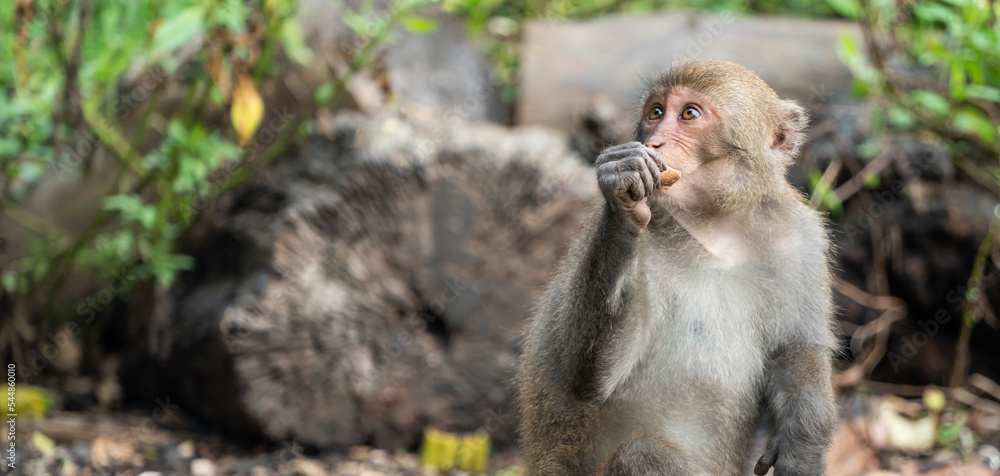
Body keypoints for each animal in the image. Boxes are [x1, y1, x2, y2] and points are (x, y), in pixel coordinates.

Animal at [516, 60, 836, 476]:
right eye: (655, 112)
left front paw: (803, 442)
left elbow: (797, 348)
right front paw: (621, 199)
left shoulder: (799, 239)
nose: (654, 144)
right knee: (641, 454)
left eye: (689, 114)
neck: (717, 229)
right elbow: (590, 379)